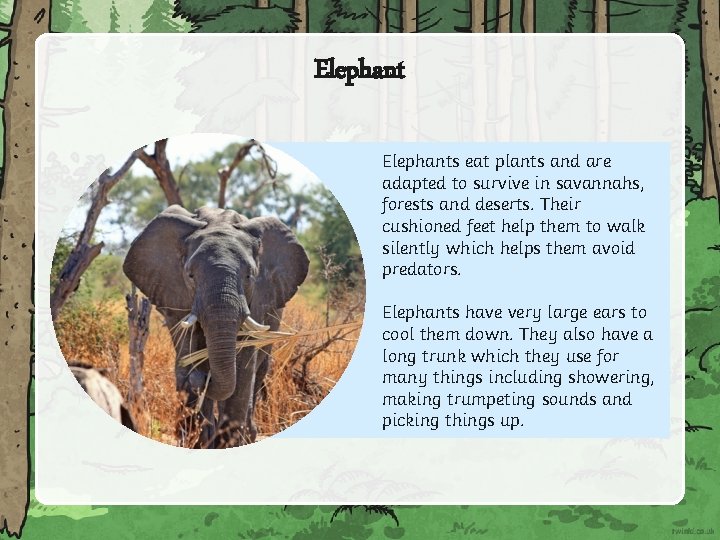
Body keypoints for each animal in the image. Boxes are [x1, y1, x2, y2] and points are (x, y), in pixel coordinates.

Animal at [123, 205, 309, 447]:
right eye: (190, 275)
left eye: (249, 276)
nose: (202, 377)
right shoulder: (177, 295)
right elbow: (188, 348)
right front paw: (197, 440)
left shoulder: (259, 298)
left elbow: (244, 364)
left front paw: (227, 443)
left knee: (260, 369)